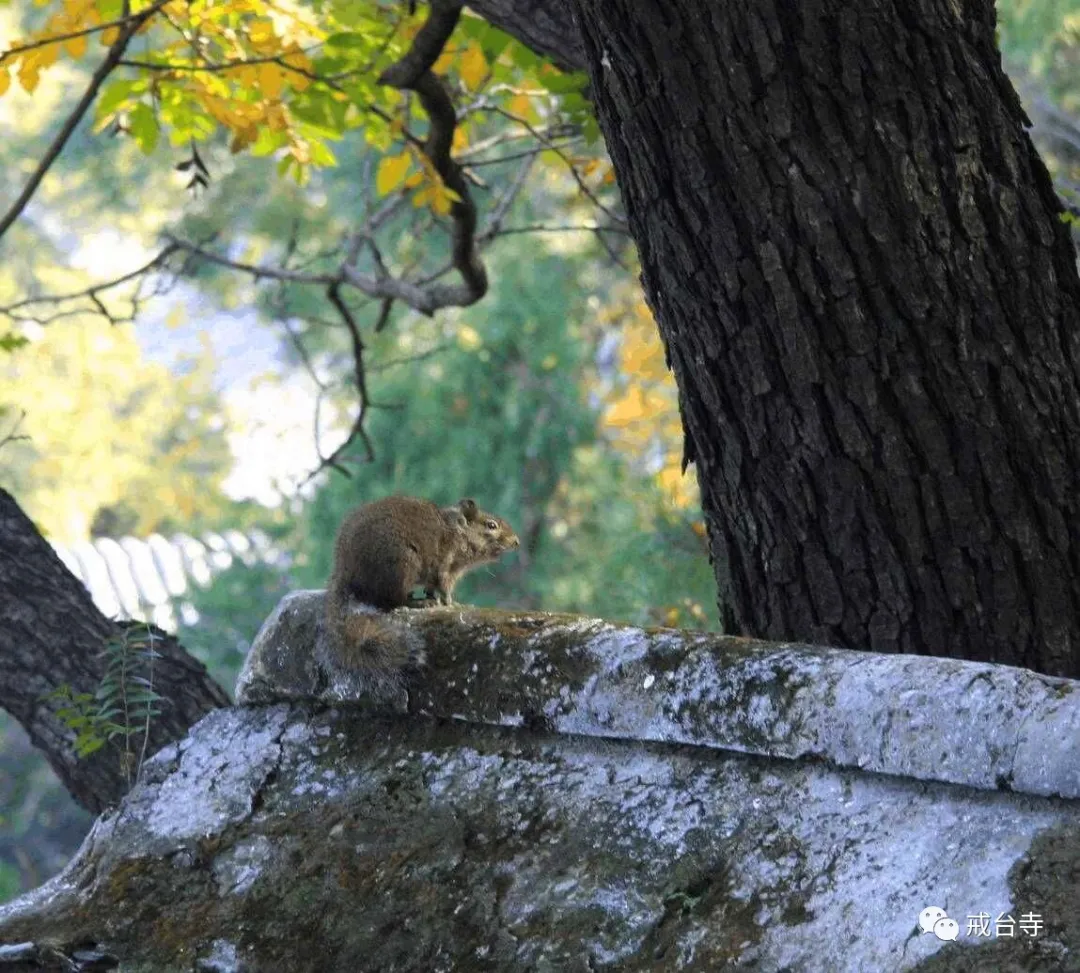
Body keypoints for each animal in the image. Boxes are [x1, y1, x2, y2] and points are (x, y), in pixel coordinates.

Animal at [324, 496, 518, 673]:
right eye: (491, 525)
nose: (516, 541)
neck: (458, 532)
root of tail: (344, 569)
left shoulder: (436, 574)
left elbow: (431, 588)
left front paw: (436, 597)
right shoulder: (446, 566)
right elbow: (445, 588)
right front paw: (454, 604)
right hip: (402, 567)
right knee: (394, 601)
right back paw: (419, 602)